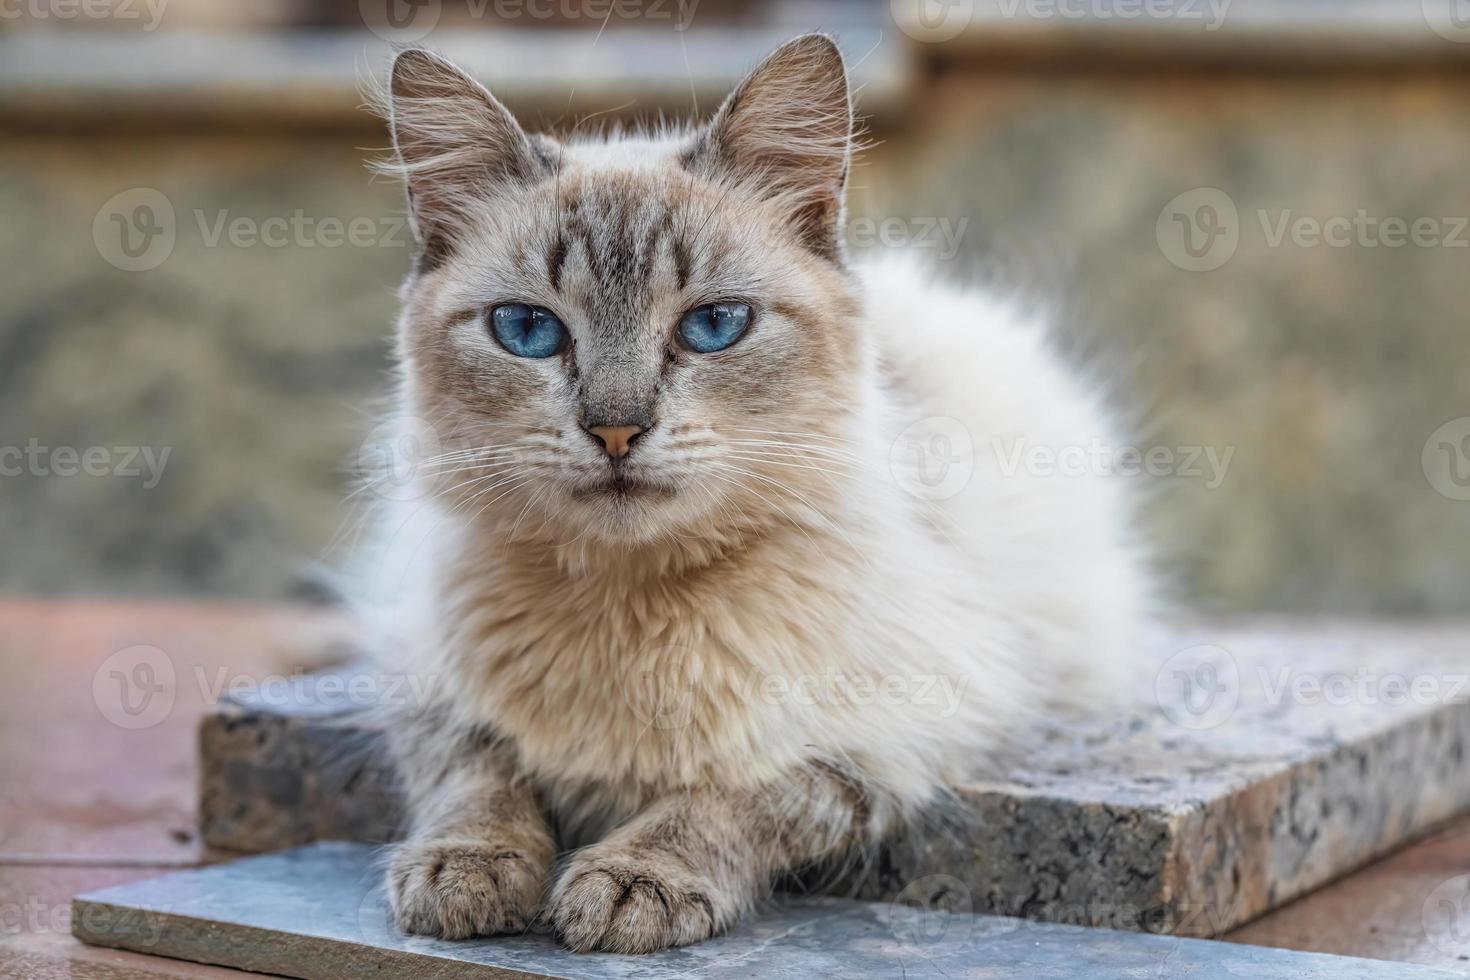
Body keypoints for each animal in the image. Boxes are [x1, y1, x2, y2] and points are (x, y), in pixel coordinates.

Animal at [355, 34, 1146, 952]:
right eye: (527, 331)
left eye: (713, 327)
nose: (616, 431)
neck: (626, 607)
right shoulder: (419, 676)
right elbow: (477, 774)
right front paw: (468, 870)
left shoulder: (884, 739)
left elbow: (722, 799)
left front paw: (630, 885)